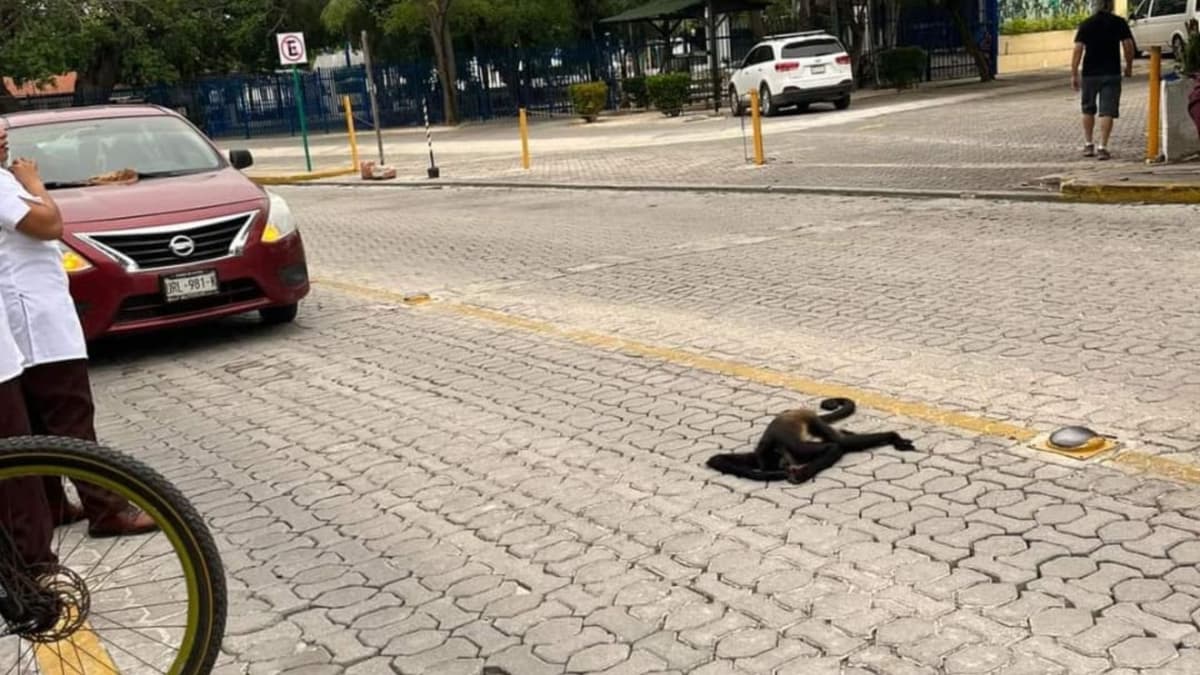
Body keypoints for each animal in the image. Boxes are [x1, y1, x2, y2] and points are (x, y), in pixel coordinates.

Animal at [706, 397, 916, 484]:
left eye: (781, 463)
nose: (786, 467)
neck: (776, 447)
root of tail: (794, 411)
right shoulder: (755, 455)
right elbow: (716, 460)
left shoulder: (795, 448)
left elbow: (835, 447)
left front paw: (800, 475)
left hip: (813, 421)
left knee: (841, 442)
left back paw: (893, 436)